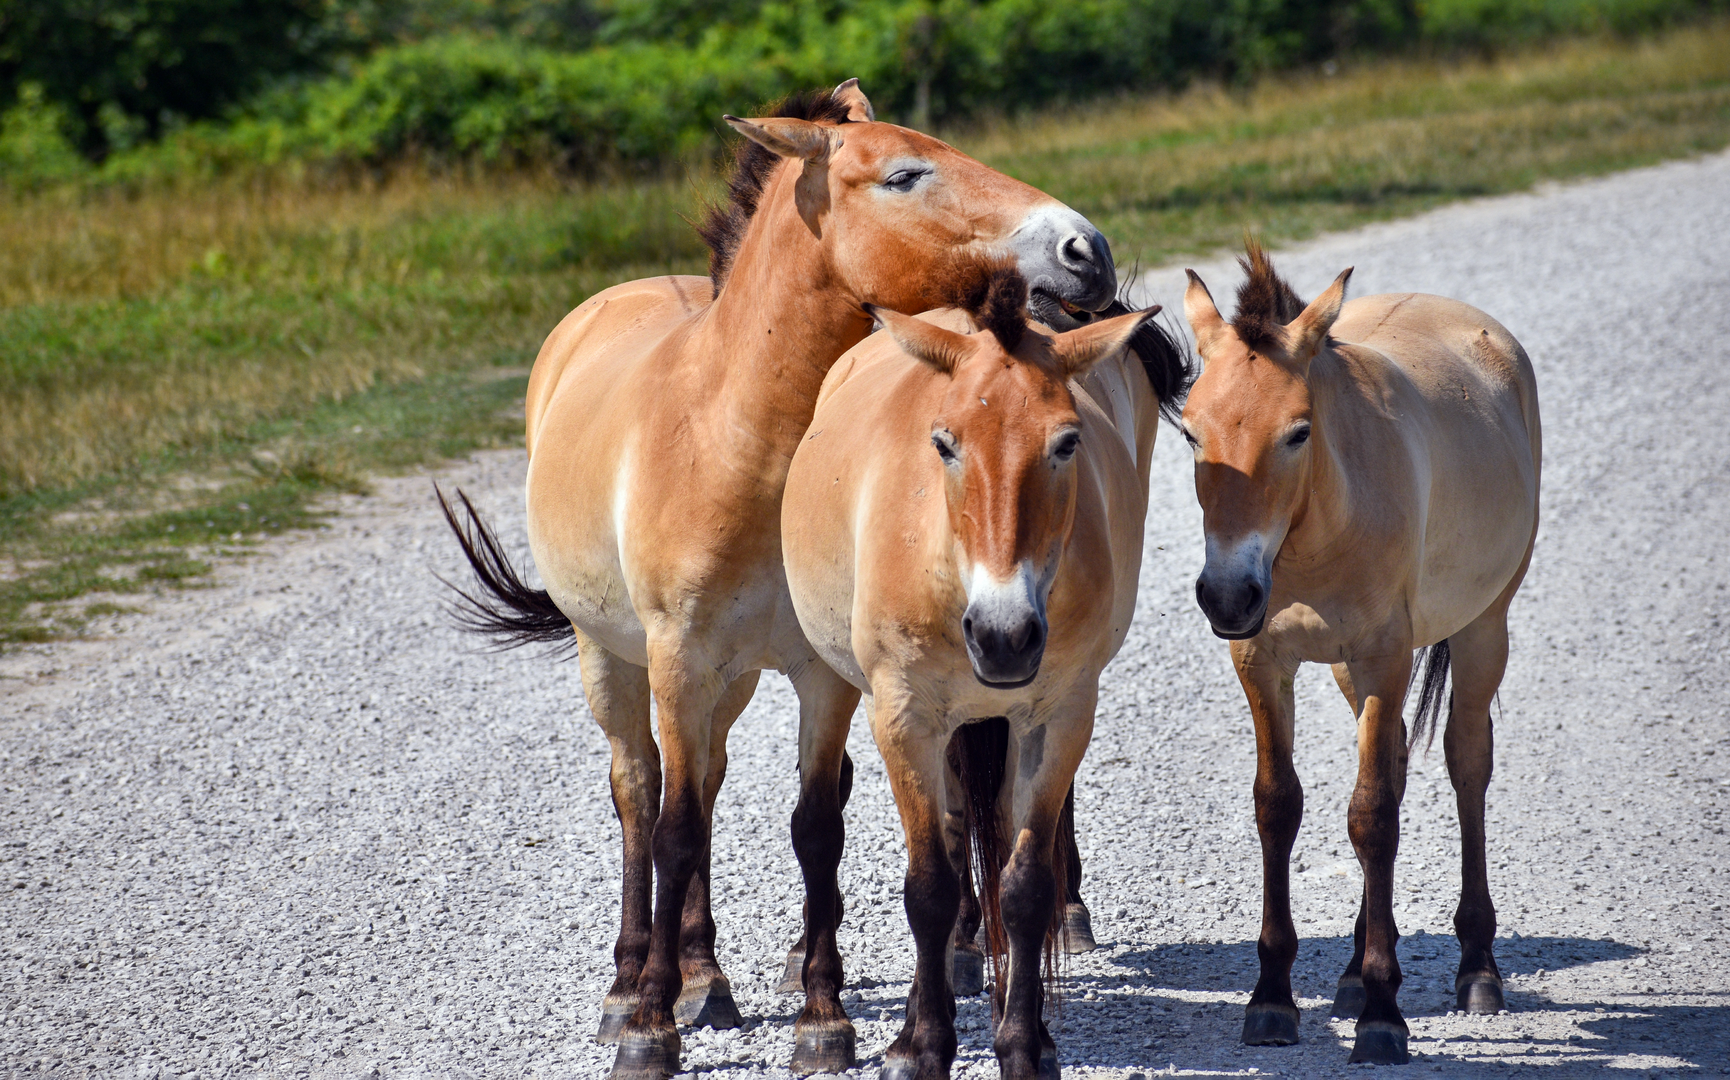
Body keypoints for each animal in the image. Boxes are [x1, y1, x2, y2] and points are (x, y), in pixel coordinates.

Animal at [437, 81, 1121, 1080]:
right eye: (905, 174)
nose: (1086, 250)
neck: (738, 440)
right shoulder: (681, 659)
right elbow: (675, 829)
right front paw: (649, 1031)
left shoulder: (820, 676)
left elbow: (814, 826)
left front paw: (821, 1019)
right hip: (615, 660)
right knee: (642, 795)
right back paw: (633, 984)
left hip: (727, 684)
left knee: (709, 783)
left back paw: (703, 975)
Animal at [781, 266, 1188, 1078]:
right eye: (944, 443)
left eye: (1067, 442)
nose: (1004, 637)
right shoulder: (904, 716)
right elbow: (929, 887)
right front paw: (921, 1044)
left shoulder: (1058, 714)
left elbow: (1024, 886)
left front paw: (1024, 1043)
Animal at [1179, 241, 1541, 1064]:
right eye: (1189, 433)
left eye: (1297, 431)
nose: (1228, 595)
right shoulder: (1263, 664)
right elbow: (1279, 805)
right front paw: (1273, 998)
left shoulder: (1385, 660)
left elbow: (1372, 816)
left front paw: (1383, 1015)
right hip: (1350, 668)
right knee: (1400, 757)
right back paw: (1350, 968)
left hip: (1483, 629)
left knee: (1466, 763)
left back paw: (1478, 968)